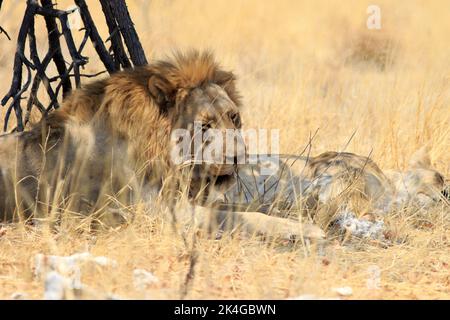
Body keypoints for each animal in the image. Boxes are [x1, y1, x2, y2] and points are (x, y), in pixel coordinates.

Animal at [0, 50, 324, 240]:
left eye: (234, 117)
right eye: (204, 126)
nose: (238, 157)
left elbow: (246, 208)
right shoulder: (151, 212)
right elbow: (238, 217)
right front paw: (309, 230)